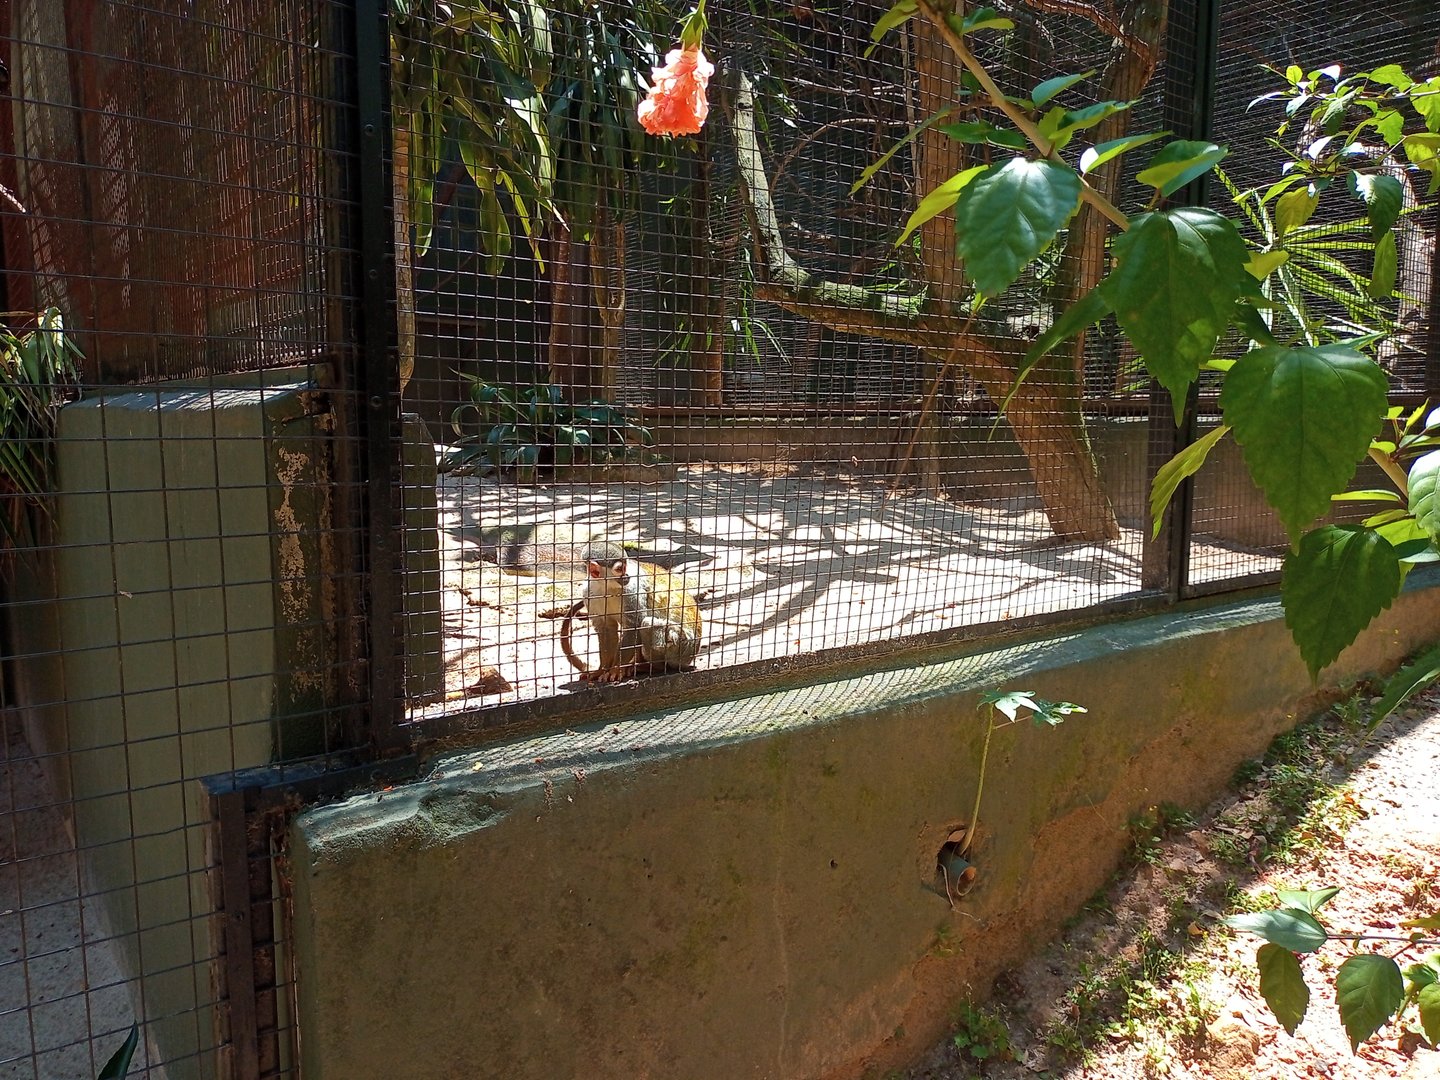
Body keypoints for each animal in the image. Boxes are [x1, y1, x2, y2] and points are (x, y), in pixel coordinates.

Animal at [559, 541, 702, 682]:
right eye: (619, 569)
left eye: (626, 567)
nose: (627, 576)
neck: (607, 587)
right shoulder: (589, 593)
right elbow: (606, 628)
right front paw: (602, 670)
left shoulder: (631, 590)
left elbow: (634, 627)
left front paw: (616, 669)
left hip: (684, 647)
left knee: (648, 623)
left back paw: (652, 667)